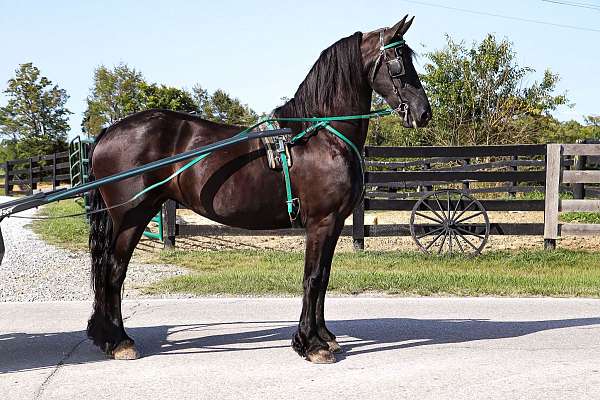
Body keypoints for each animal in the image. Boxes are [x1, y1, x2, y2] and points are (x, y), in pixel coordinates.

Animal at [86, 16, 428, 362]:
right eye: (398, 62)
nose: (422, 112)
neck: (319, 136)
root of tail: (109, 132)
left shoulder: (334, 224)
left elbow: (323, 278)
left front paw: (324, 338)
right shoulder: (322, 222)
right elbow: (313, 278)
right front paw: (311, 344)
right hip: (132, 217)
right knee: (113, 270)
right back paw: (119, 341)